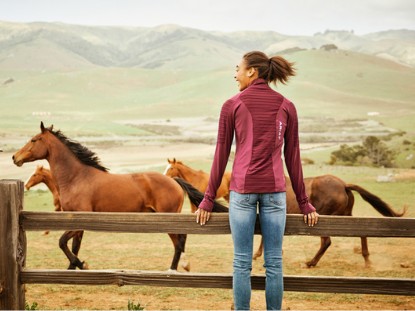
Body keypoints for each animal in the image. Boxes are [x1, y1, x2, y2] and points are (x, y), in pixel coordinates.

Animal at [13, 123, 228, 272]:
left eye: (34, 140)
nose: (15, 157)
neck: (77, 178)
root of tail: (173, 180)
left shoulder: (81, 220)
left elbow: (62, 242)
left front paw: (82, 265)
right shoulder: (77, 221)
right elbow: (73, 246)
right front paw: (73, 268)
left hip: (167, 217)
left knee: (179, 242)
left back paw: (175, 268)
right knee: (181, 239)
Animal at [252, 176, 408, 268]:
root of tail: (344, 185)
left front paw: (258, 255)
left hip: (324, 218)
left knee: (326, 242)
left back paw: (311, 262)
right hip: (344, 217)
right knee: (361, 233)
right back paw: (367, 260)